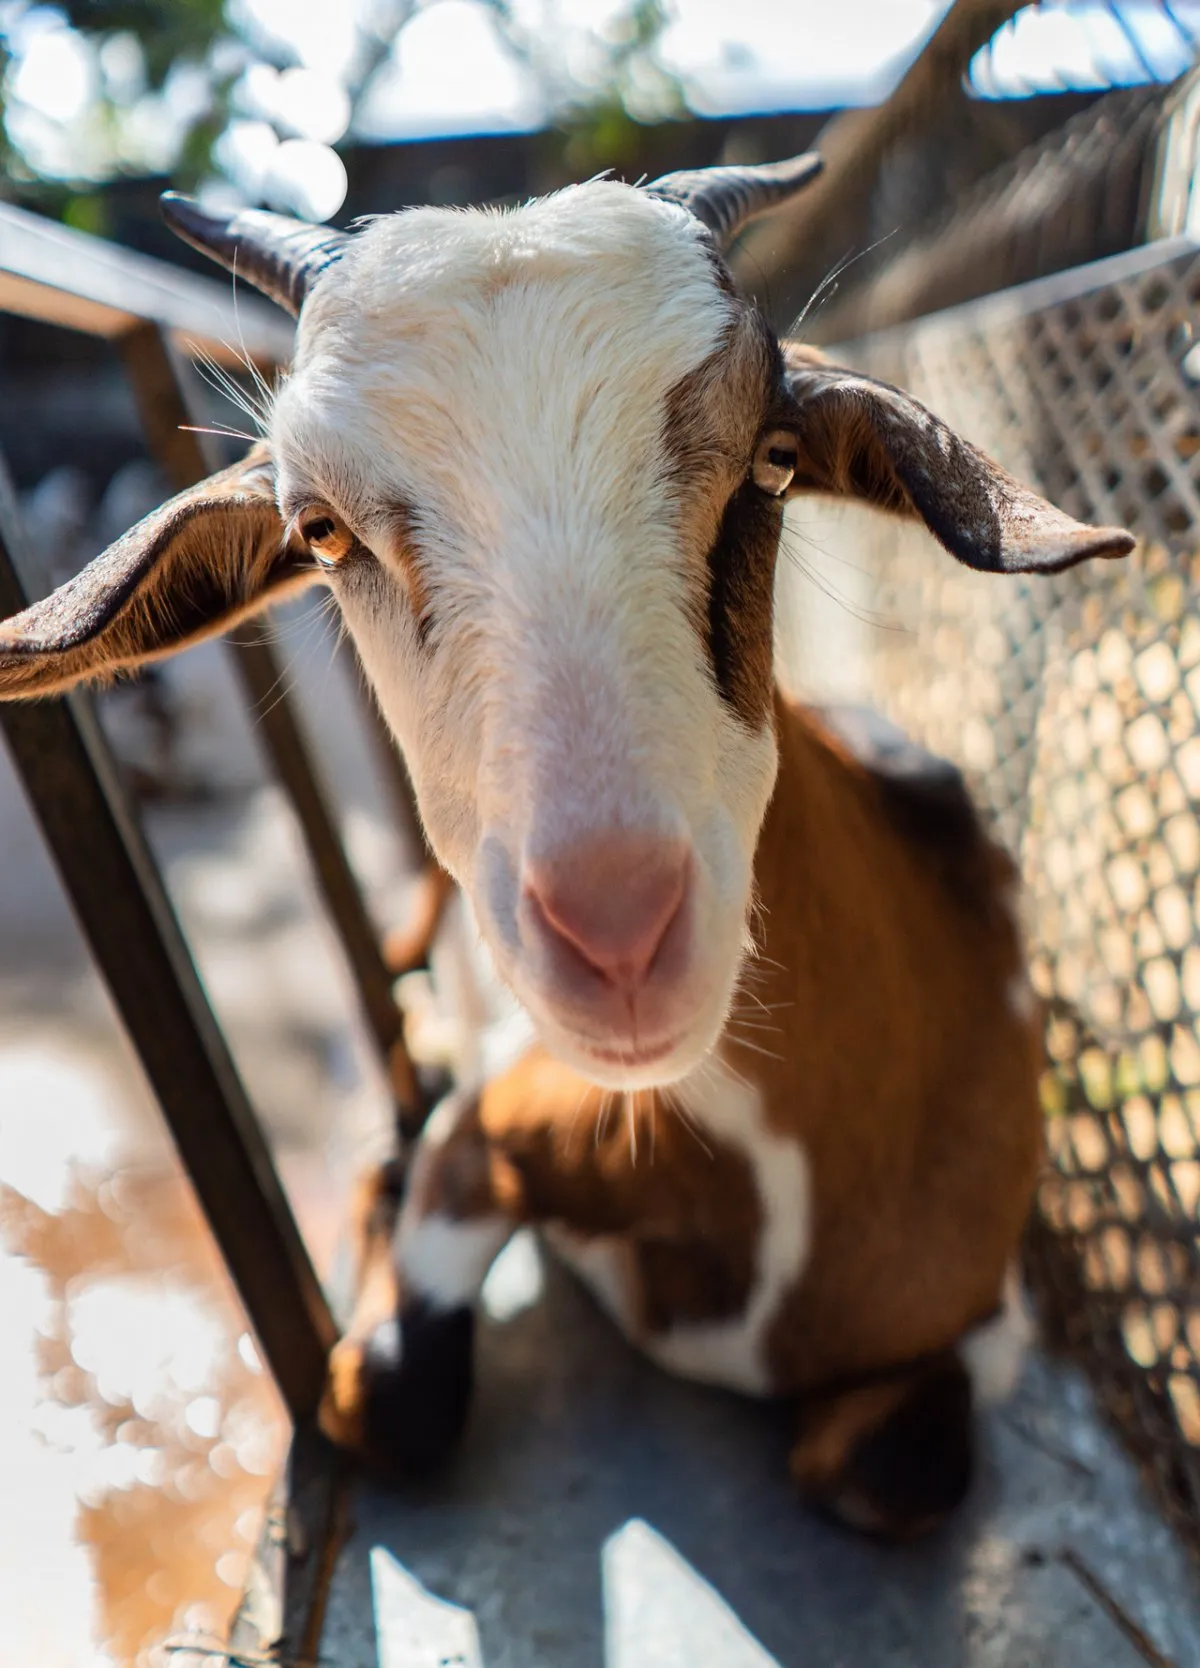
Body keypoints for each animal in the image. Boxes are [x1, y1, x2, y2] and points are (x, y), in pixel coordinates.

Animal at [0, 156, 1133, 1537]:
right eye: (319, 530)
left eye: (774, 460)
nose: (619, 935)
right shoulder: (492, 1123)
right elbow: (392, 1388)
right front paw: (383, 1177)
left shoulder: (984, 1310)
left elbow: (888, 1470)